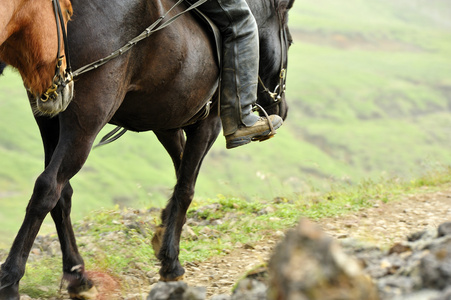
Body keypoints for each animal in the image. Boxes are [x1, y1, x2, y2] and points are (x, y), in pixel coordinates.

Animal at [0, 0, 294, 298]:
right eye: (291, 42)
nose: (282, 109)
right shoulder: (207, 125)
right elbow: (186, 187)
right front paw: (170, 262)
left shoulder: (166, 123)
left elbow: (180, 173)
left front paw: (163, 231)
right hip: (87, 119)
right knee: (49, 187)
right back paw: (11, 278)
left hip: (50, 116)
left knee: (62, 193)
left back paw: (78, 276)